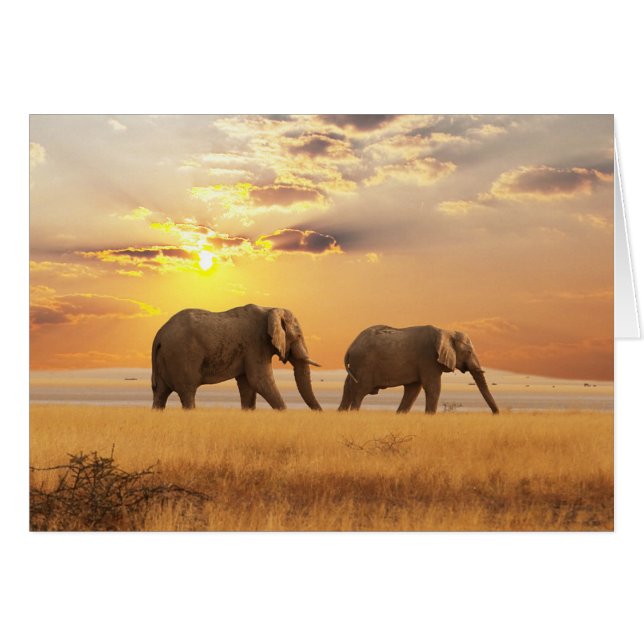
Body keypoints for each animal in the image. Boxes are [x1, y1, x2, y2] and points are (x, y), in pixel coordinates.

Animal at [151, 304, 323, 410]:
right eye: (298, 336)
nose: (320, 413)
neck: (270, 309)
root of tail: (159, 335)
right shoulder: (256, 344)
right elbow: (259, 380)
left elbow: (248, 385)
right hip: (181, 356)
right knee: (187, 392)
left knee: (160, 393)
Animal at [338, 324, 499, 414]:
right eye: (469, 352)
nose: (496, 414)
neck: (446, 331)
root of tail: (350, 347)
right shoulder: (428, 358)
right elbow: (433, 387)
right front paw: (430, 416)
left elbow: (413, 389)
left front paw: (400, 415)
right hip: (364, 364)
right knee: (359, 392)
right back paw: (353, 413)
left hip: (356, 366)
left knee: (348, 389)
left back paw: (341, 413)